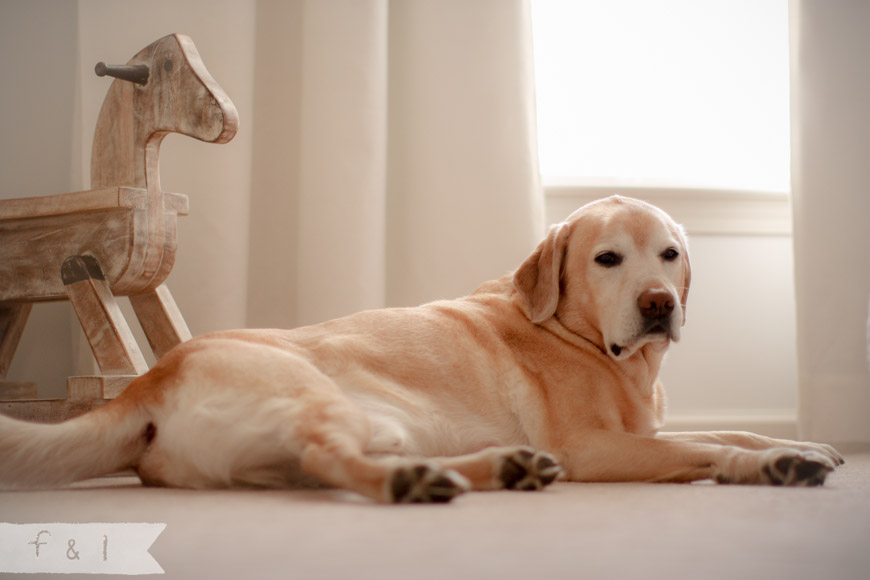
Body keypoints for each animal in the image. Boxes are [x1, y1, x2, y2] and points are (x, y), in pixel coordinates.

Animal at [0, 196, 844, 502]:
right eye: (608, 259)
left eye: (669, 255)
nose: (660, 304)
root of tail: (151, 379)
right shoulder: (598, 447)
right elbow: (703, 447)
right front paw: (777, 462)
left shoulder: (638, 428)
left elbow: (730, 427)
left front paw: (805, 444)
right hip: (320, 398)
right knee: (331, 461)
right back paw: (421, 484)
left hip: (369, 426)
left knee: (321, 465)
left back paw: (497, 469)